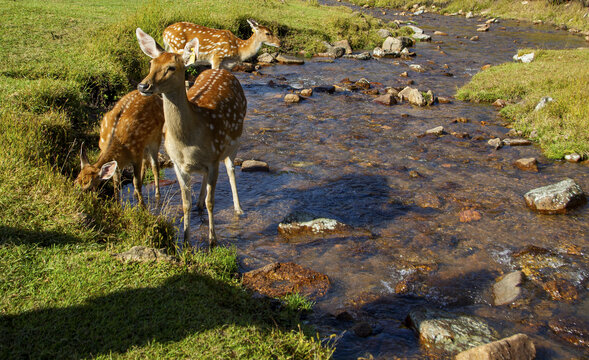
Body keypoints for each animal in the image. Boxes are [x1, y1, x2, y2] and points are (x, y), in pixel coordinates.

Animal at [136, 28, 246, 249]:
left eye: (171, 67)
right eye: (151, 63)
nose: (143, 86)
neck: (187, 143)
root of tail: (223, 71)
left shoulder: (214, 159)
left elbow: (212, 202)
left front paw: (213, 240)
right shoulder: (178, 164)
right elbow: (185, 202)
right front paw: (186, 240)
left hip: (234, 143)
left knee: (231, 169)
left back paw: (238, 209)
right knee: (203, 181)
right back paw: (199, 204)